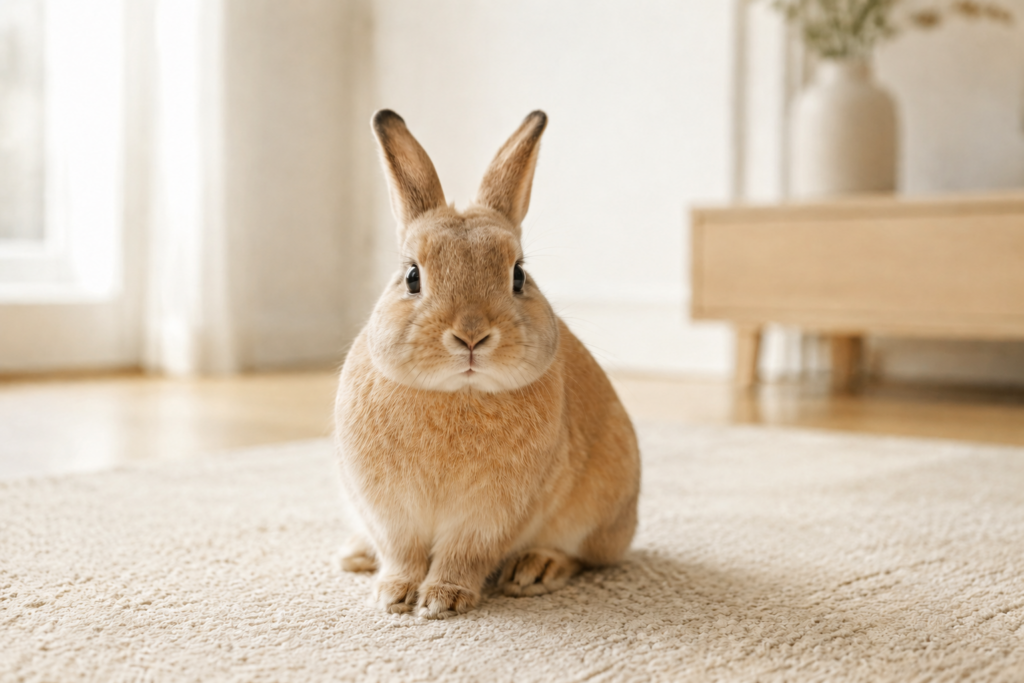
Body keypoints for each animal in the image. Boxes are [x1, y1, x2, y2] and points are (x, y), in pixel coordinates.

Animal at [334, 109, 640, 619]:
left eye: (518, 275)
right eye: (412, 276)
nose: (471, 335)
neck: (460, 392)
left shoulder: (491, 515)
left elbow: (464, 554)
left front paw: (442, 599)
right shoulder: (390, 511)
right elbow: (402, 552)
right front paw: (393, 593)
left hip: (597, 512)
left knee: (582, 556)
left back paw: (536, 569)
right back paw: (355, 555)